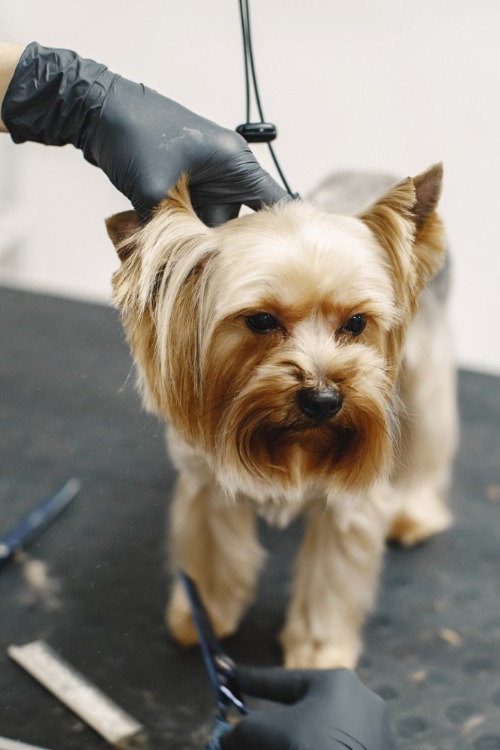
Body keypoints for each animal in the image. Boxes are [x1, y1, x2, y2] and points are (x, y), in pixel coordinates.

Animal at [106, 163, 457, 668]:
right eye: (261, 320)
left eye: (356, 323)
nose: (324, 399)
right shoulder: (207, 482)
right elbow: (211, 552)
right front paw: (203, 618)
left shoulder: (348, 503)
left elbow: (331, 576)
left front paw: (317, 652)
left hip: (423, 373)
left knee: (428, 439)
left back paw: (413, 513)